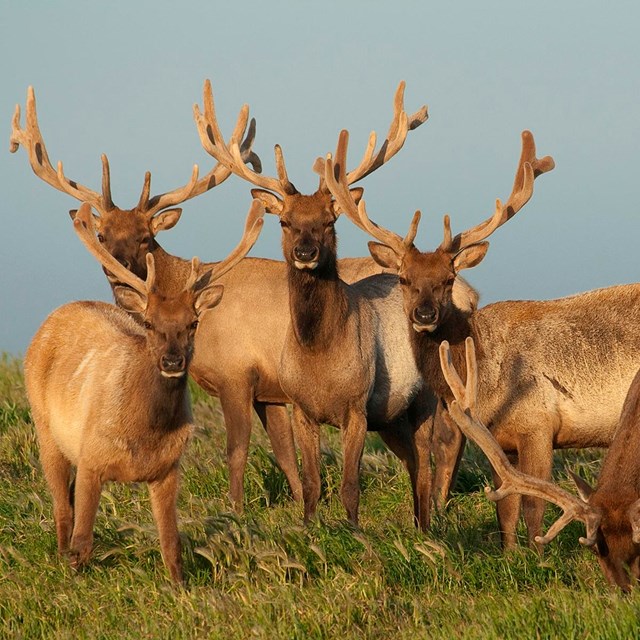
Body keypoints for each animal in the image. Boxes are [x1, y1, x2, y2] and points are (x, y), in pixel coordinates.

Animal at [10, 85, 390, 512]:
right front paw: (300, 507)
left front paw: (236, 510)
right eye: (103, 235)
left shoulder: (236, 372)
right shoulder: (270, 391)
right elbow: (285, 454)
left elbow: (237, 450)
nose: (119, 268)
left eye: (146, 237)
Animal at [22, 202, 262, 584]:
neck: (143, 433)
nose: (173, 360)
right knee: (62, 508)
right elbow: (83, 541)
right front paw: (74, 580)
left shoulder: (168, 468)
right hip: (45, 427)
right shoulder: (91, 456)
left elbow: (171, 543)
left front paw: (179, 587)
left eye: (193, 323)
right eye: (149, 323)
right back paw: (59, 557)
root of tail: (63, 309)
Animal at [195, 79, 438, 528]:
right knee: (414, 463)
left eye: (329, 221)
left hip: (427, 398)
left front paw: (354, 532)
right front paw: (308, 528)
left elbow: (349, 486)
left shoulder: (356, 407)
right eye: (284, 221)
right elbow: (310, 482)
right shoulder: (302, 409)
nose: (305, 252)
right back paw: (417, 524)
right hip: (392, 417)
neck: (320, 357)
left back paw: (429, 527)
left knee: (429, 462)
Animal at [330, 129, 640, 552]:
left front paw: (537, 555)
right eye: (404, 279)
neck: (486, 380)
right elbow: (505, 512)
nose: (425, 315)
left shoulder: (539, 425)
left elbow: (533, 508)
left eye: (448, 279)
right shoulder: (499, 436)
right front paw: (510, 554)